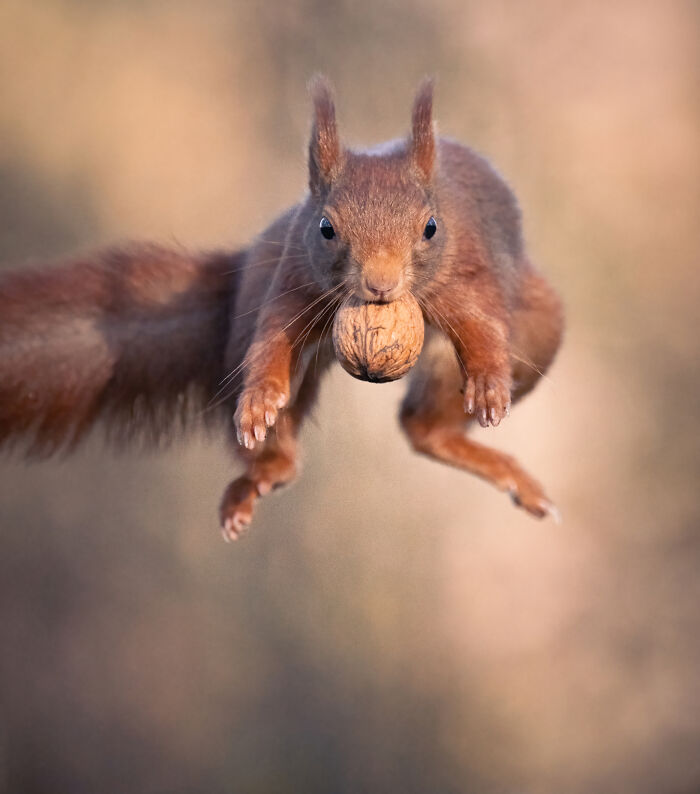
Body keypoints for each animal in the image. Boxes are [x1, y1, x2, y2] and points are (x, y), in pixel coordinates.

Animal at [0, 76, 564, 540]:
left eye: (430, 227)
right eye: (326, 227)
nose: (380, 285)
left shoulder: (469, 271)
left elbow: (482, 325)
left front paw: (488, 385)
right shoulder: (295, 281)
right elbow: (273, 339)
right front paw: (258, 400)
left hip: (535, 329)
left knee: (427, 428)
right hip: (255, 307)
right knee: (292, 449)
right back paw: (258, 475)